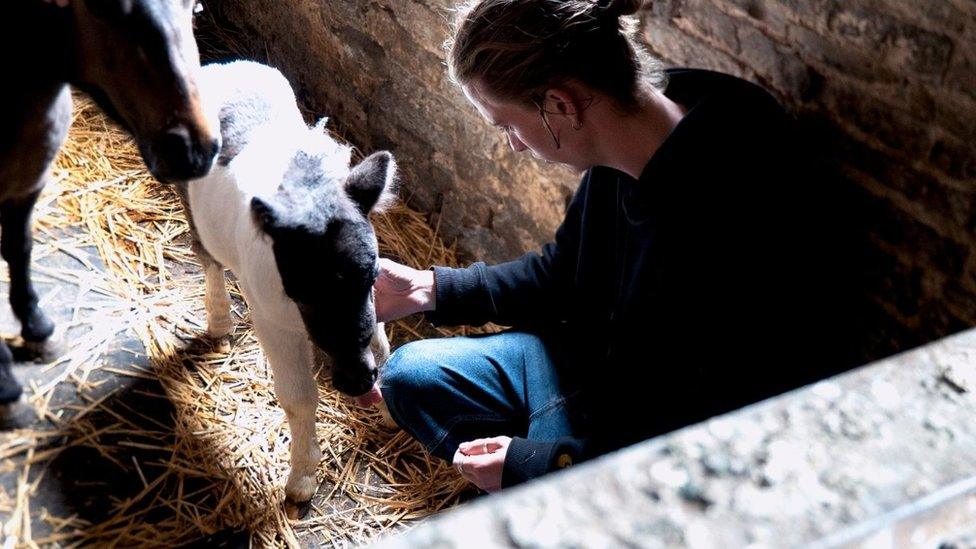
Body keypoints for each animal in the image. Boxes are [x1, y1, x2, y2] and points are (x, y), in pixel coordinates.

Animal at [0, 0, 217, 402]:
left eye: (195, 9)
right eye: (101, 8)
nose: (194, 150)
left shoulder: (29, 184)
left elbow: (19, 249)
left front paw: (37, 327)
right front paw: (6, 379)